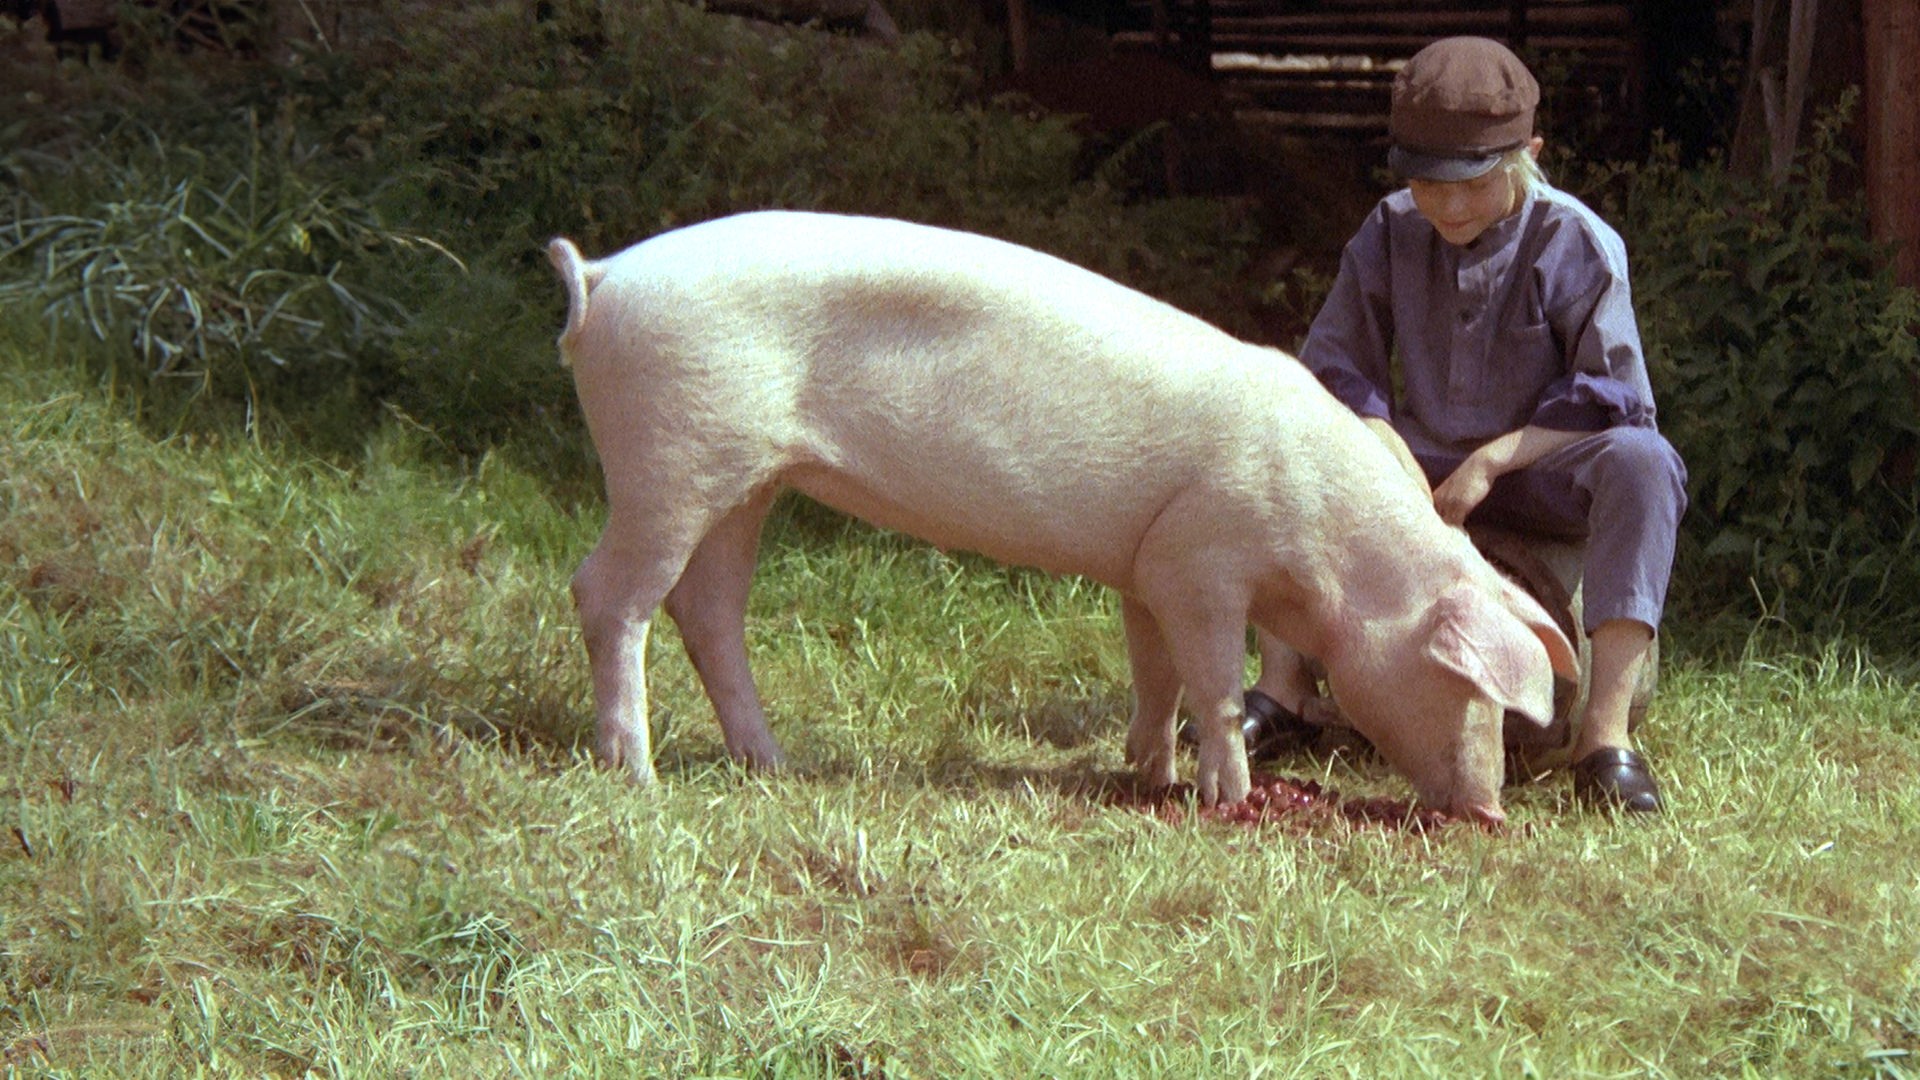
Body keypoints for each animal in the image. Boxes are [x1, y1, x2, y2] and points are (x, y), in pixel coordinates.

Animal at [547, 211, 1578, 824]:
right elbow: (1214, 683)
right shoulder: (1203, 563)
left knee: (708, 611)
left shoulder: (1149, 566)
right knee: (607, 594)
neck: (1331, 551)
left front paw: (1152, 779)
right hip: (670, 456)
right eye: (1472, 689)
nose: (1490, 814)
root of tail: (603, 278)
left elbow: (1156, 678)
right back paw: (633, 773)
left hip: (745, 483)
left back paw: (773, 766)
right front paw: (1226, 801)